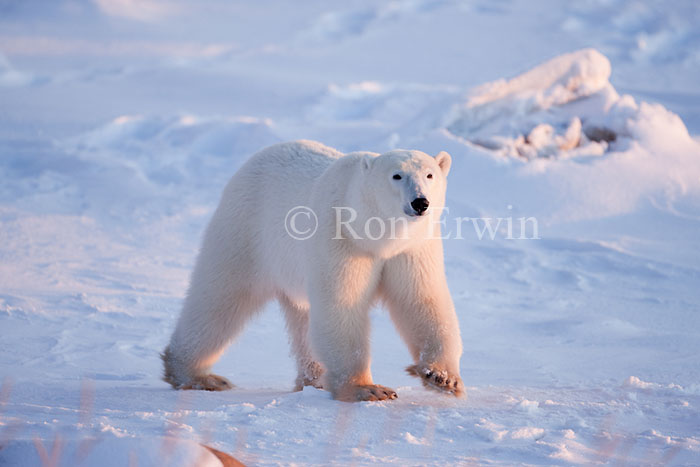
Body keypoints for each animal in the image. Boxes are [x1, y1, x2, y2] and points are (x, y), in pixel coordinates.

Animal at [162, 140, 464, 402]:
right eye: (397, 176)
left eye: (429, 174)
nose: (420, 202)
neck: (374, 233)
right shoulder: (341, 237)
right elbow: (342, 305)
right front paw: (367, 389)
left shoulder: (411, 248)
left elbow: (421, 300)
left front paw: (442, 377)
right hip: (248, 230)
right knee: (220, 296)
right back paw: (196, 375)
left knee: (301, 318)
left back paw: (314, 379)